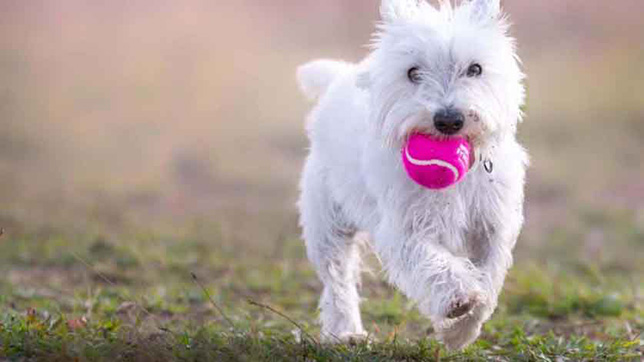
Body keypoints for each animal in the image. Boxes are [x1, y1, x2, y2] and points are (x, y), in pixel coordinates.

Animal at [296, 0, 528, 350]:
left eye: (475, 68)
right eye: (413, 72)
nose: (449, 120)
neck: (461, 180)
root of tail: (339, 78)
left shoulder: (491, 226)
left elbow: (488, 282)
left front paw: (459, 333)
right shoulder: (404, 228)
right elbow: (433, 262)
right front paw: (458, 299)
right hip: (328, 222)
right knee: (337, 279)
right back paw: (347, 332)